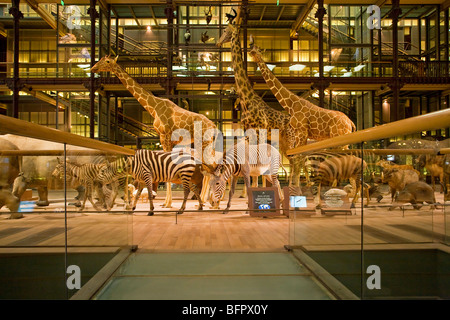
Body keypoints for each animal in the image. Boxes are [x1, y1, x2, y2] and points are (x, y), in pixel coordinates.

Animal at [91, 56, 218, 208]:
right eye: (100, 59)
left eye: (107, 62)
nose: (93, 68)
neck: (154, 107)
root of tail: (214, 126)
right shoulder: (166, 139)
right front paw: (166, 202)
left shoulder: (165, 136)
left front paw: (167, 203)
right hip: (207, 145)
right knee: (209, 168)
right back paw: (207, 201)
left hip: (203, 143)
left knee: (211, 167)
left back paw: (210, 202)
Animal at [218, 23, 302, 189]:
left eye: (225, 30)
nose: (218, 42)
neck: (247, 99)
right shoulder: (249, 132)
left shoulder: (261, 131)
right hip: (283, 142)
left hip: (290, 140)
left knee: (296, 160)